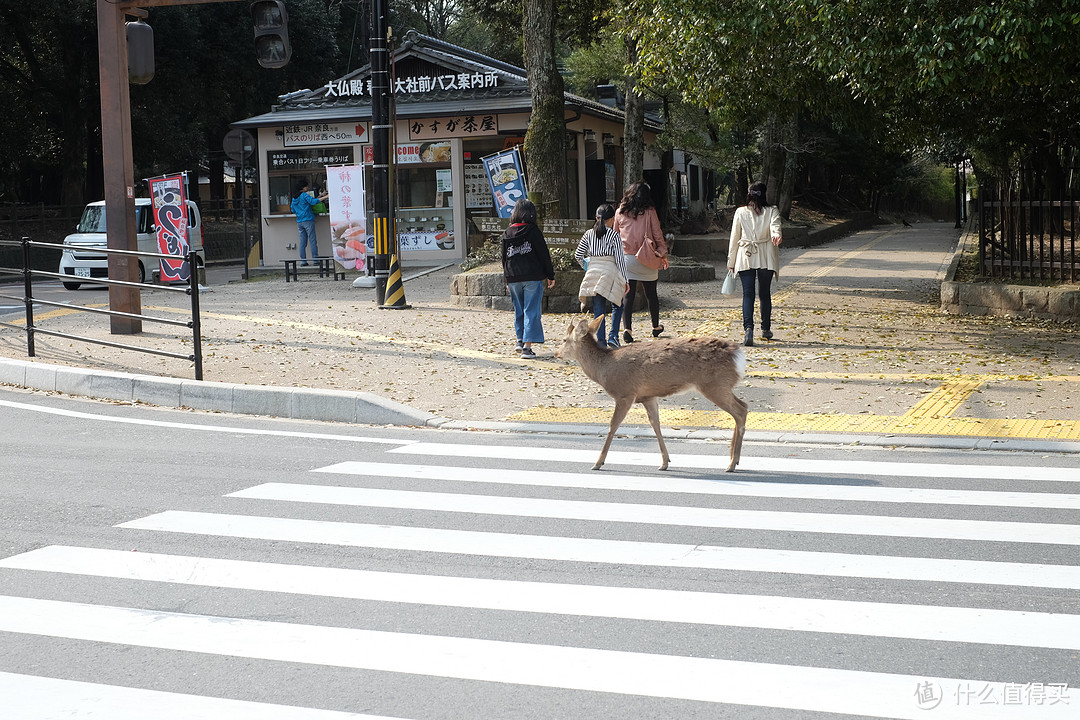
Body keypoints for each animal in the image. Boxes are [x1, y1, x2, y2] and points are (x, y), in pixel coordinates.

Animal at [552, 315, 747, 472]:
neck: (604, 370)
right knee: (743, 406)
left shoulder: (625, 393)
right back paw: (733, 459)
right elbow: (656, 425)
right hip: (722, 385)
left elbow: (613, 426)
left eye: (564, 339)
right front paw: (665, 462)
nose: (556, 353)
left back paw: (731, 463)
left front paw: (598, 463)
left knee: (740, 411)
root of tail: (738, 356)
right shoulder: (648, 396)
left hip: (714, 384)